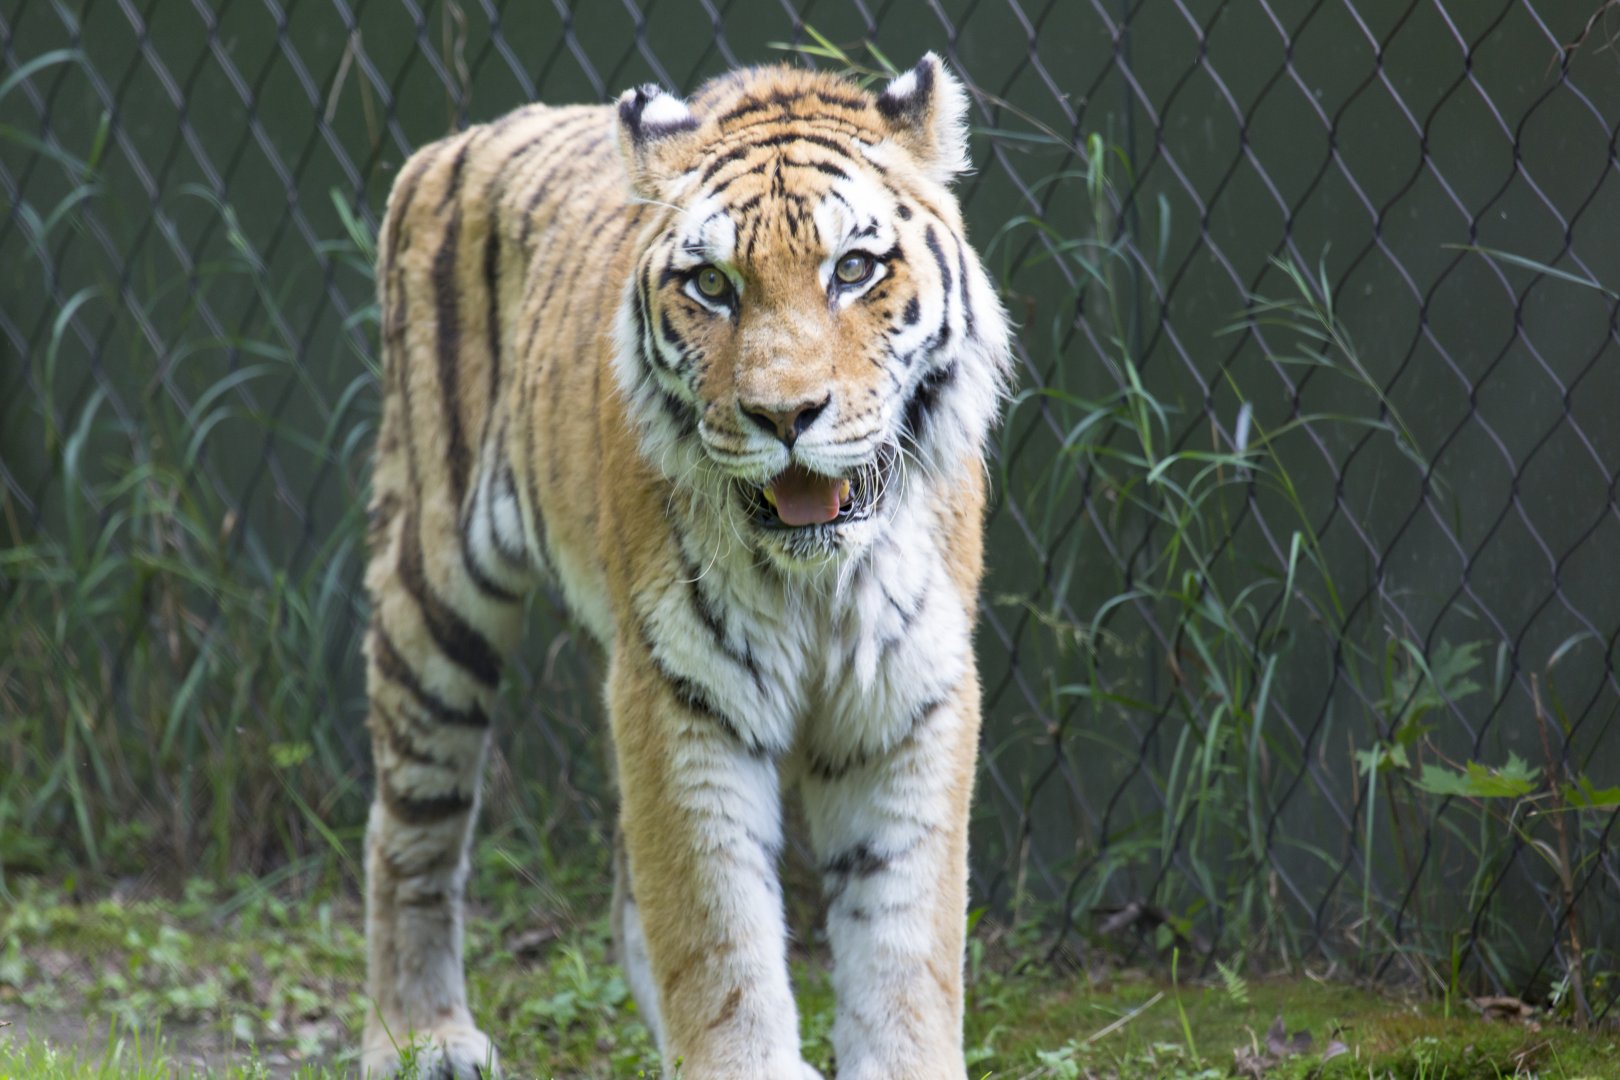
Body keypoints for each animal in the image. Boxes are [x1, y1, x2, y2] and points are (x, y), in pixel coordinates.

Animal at [360, 53, 1010, 1079]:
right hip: (435, 596)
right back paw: (422, 1034)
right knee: (410, 827)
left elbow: (904, 934)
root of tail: (452, 142)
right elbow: (717, 925)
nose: (786, 415)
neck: (816, 581)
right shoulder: (680, 689)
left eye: (852, 269)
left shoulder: (909, 692)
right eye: (712, 283)